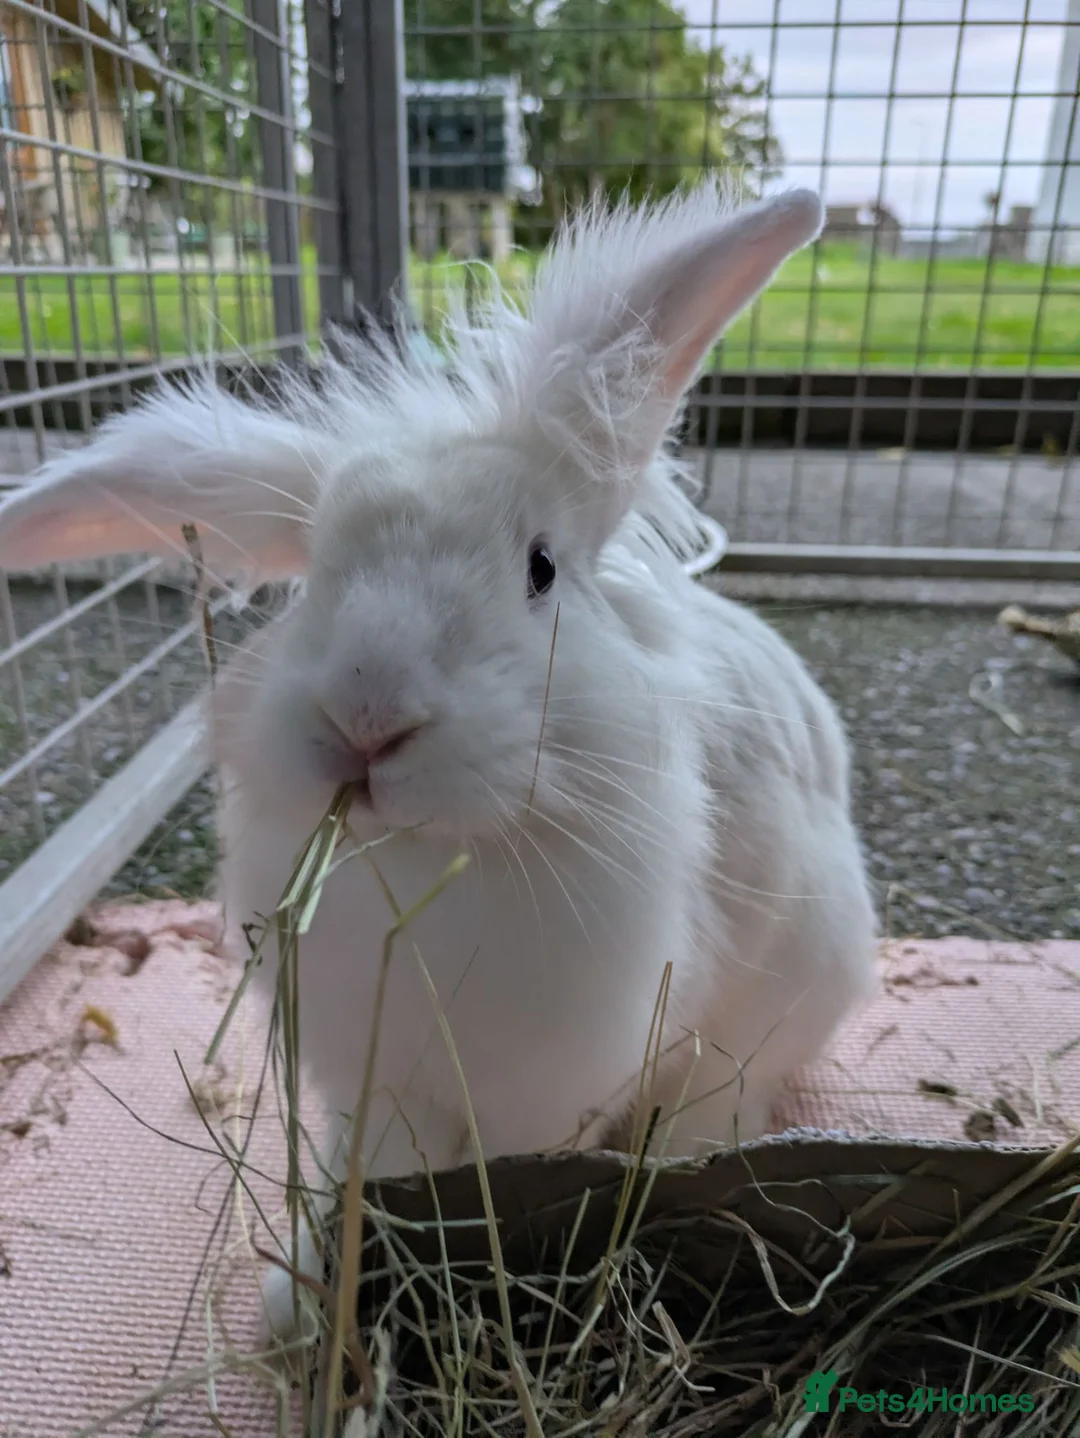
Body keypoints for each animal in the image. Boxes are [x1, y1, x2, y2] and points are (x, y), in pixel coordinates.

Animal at [0, 180, 879, 1340]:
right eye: (314, 579)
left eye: (541, 568)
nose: (366, 716)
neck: (431, 863)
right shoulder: (368, 1081)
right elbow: (364, 1169)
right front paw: (300, 1295)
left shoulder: (542, 1085)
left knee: (723, 1098)